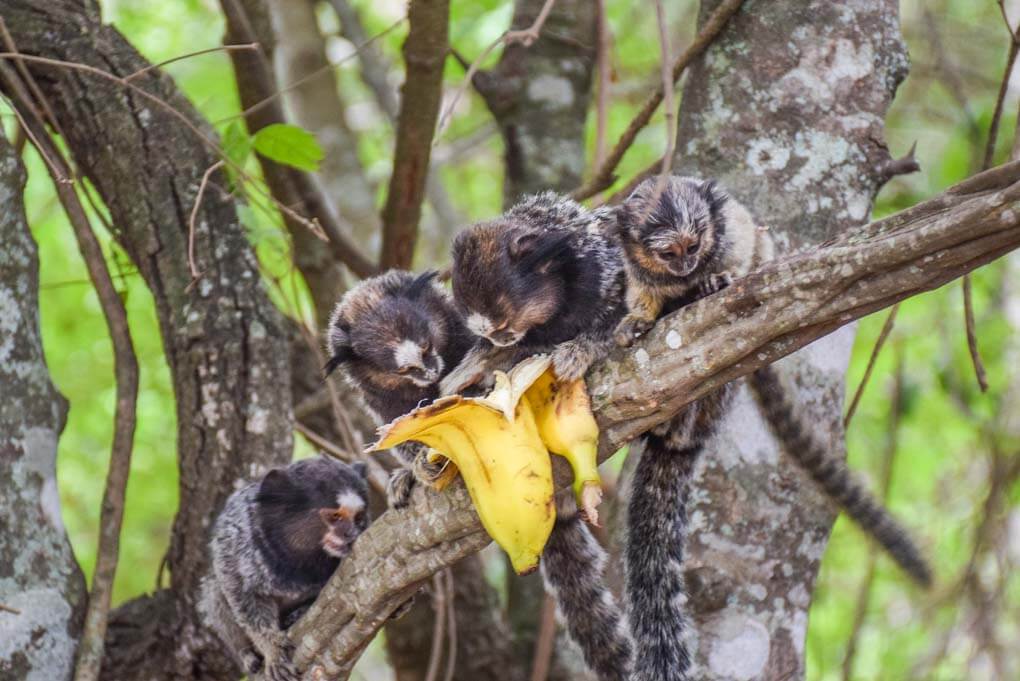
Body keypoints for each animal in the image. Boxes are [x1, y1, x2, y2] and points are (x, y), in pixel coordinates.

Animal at [198, 456, 370, 680]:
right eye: (335, 516)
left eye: (358, 518)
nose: (350, 535)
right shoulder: (238, 542)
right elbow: (240, 594)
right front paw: (272, 650)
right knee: (214, 589)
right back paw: (246, 653)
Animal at [324, 269, 474, 509]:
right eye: (405, 369)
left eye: (426, 347)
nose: (430, 371)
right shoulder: (379, 397)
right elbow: (399, 430)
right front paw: (419, 465)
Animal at [445, 193, 634, 681]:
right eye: (489, 331)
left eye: (502, 322)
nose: (498, 338)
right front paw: (471, 368)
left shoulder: (608, 272)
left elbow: (618, 321)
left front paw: (580, 349)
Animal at [613, 175, 931, 681]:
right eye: (668, 252)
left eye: (694, 243)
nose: (686, 264)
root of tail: (685, 441)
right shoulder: (639, 270)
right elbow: (642, 299)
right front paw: (639, 320)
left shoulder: (737, 233)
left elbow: (753, 250)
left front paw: (715, 280)